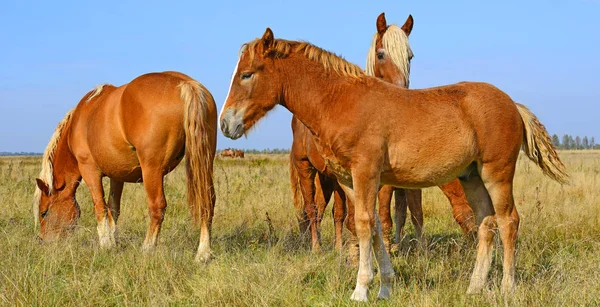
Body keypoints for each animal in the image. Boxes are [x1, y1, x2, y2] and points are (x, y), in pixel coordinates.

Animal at [33, 71, 218, 262]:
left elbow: (100, 208)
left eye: (44, 213)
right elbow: (113, 209)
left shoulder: (89, 171)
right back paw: (203, 254)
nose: (43, 241)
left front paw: (106, 245)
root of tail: (185, 84)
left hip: (152, 170)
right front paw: (114, 242)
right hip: (205, 163)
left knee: (157, 207)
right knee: (208, 201)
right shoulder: (117, 176)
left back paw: (147, 249)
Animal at [220, 28, 568, 304]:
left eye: (247, 74)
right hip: (471, 177)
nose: (225, 124)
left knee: (509, 221)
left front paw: (360, 290)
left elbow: (363, 224)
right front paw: (385, 287)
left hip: (497, 172)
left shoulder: (366, 172)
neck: (340, 100)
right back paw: (474, 288)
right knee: (486, 223)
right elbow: (372, 225)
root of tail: (512, 103)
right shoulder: (350, 180)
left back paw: (508, 288)